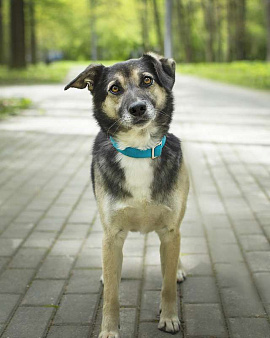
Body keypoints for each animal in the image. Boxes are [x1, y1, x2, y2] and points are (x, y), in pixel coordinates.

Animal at [64, 52, 189, 336]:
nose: (138, 108)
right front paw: (109, 330)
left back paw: (178, 269)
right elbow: (111, 294)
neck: (139, 149)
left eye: (147, 80)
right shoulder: (112, 235)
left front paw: (169, 317)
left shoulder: (170, 231)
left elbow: (167, 285)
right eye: (114, 89)